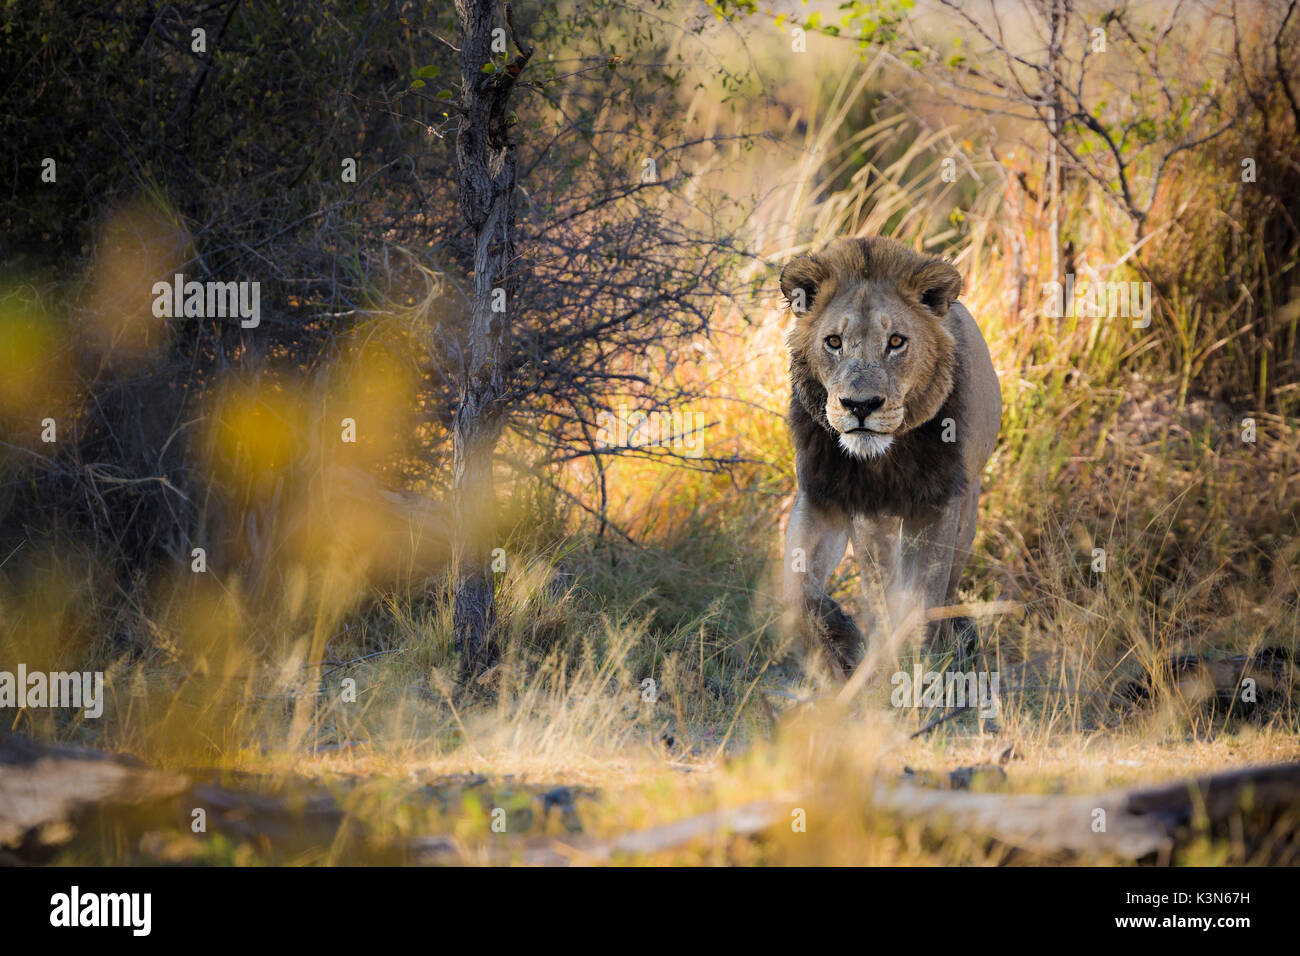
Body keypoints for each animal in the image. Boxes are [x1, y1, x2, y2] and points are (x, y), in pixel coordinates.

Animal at [774, 235, 998, 676]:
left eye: (896, 341)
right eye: (833, 342)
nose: (861, 405)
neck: (883, 459)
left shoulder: (937, 504)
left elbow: (920, 598)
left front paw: (915, 666)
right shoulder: (830, 498)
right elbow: (798, 591)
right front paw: (845, 644)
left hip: (967, 506)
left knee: (943, 585)